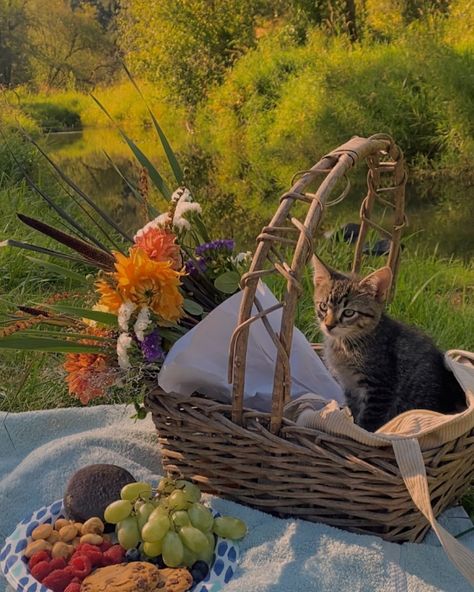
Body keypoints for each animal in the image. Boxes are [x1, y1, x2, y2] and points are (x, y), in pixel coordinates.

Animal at [312, 256, 466, 432]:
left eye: (349, 312)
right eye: (323, 306)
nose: (329, 325)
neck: (344, 344)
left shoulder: (381, 387)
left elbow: (368, 421)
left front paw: (362, 431)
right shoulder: (350, 387)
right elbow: (354, 412)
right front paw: (352, 423)